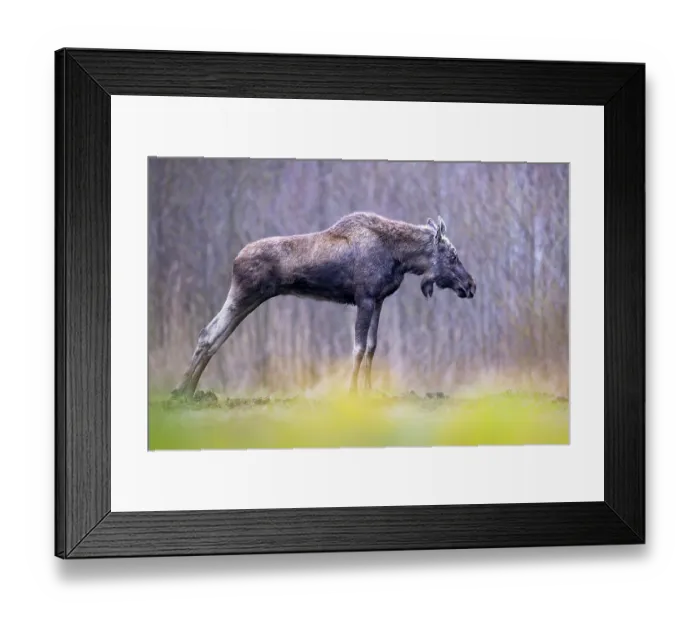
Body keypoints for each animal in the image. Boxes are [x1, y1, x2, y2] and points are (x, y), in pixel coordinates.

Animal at [172, 211, 476, 398]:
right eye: (452, 255)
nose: (471, 285)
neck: (400, 258)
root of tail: (235, 260)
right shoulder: (364, 299)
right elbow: (358, 348)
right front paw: (352, 392)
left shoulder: (378, 301)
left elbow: (371, 348)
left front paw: (369, 390)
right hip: (243, 295)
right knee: (209, 334)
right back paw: (182, 390)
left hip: (250, 299)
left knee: (214, 336)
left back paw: (189, 390)